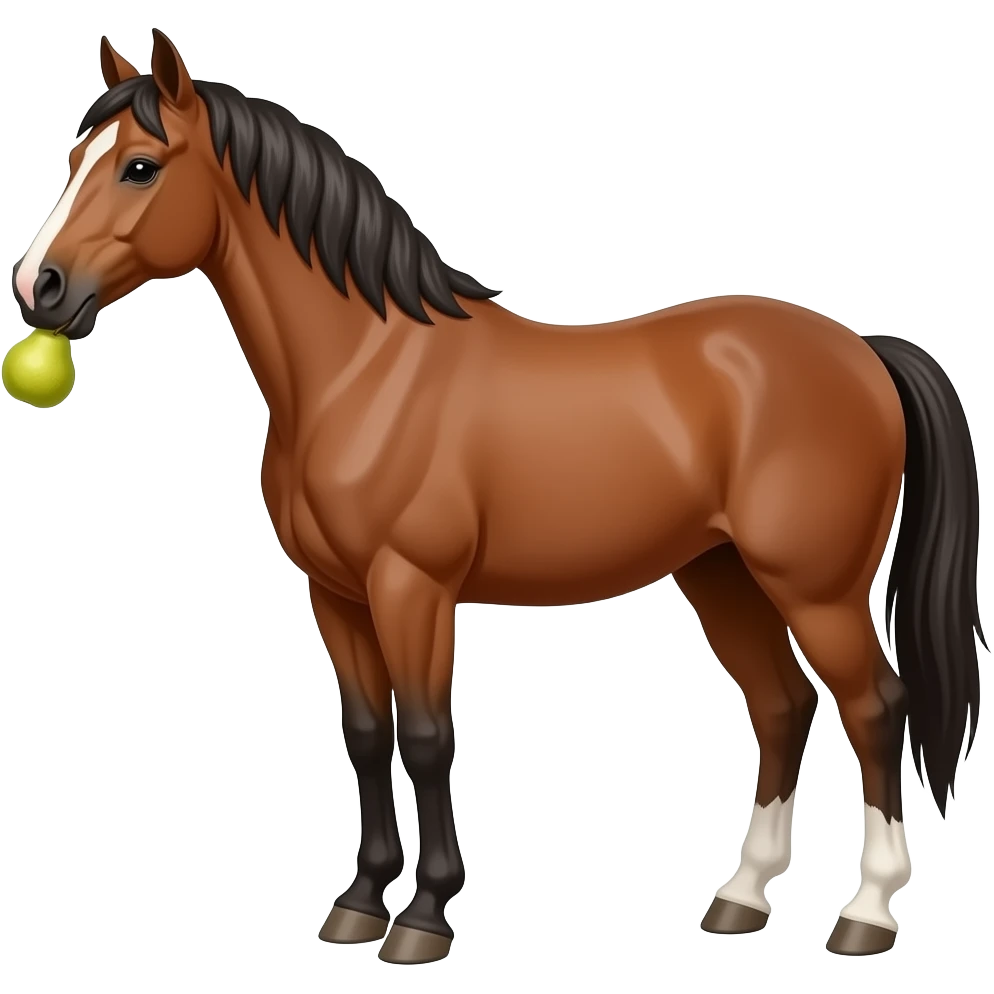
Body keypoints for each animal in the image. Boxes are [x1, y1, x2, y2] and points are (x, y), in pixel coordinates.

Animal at [10, 29, 986, 965]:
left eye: (141, 166)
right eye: (75, 158)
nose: (37, 288)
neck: (366, 370)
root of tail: (861, 350)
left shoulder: (412, 587)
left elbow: (426, 735)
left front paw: (424, 919)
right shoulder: (335, 595)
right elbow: (366, 733)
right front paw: (359, 903)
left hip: (814, 587)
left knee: (875, 708)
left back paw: (866, 914)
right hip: (722, 575)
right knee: (781, 707)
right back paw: (740, 900)